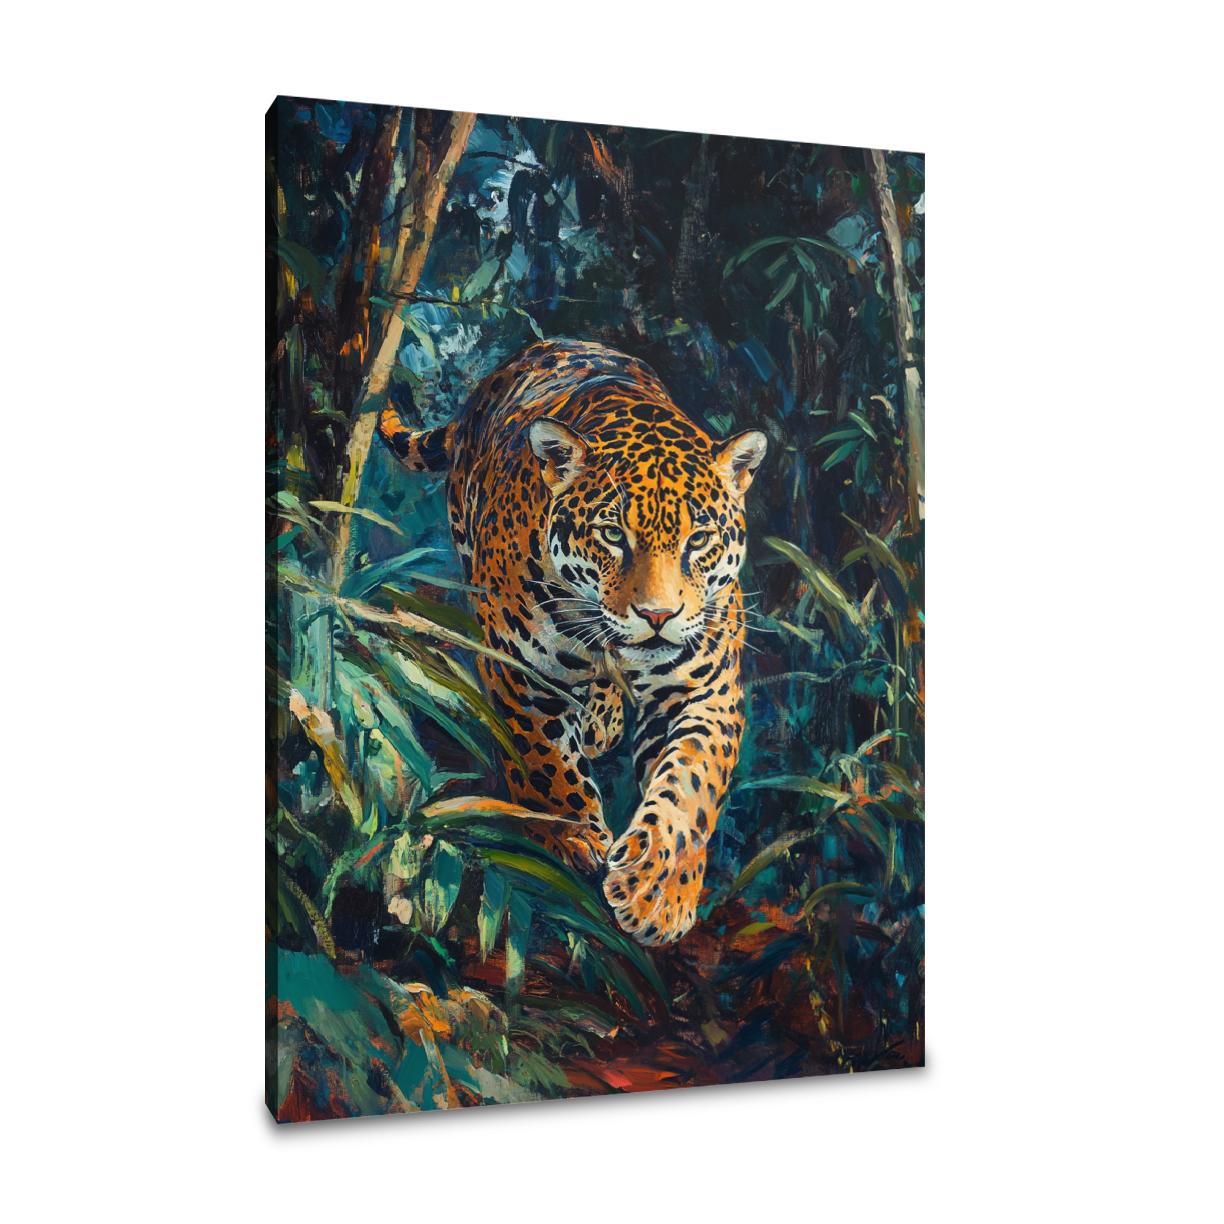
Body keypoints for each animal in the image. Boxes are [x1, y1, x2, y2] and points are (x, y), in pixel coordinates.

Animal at [378, 339, 767, 945]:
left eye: (699, 540)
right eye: (612, 535)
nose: (658, 615)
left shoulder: (704, 691)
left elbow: (690, 782)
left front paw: (657, 893)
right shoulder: (518, 670)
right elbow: (544, 759)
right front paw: (572, 837)